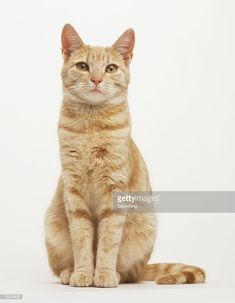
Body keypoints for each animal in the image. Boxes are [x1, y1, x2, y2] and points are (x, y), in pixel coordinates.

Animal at [44, 23, 206, 288]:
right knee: (61, 267)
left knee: (130, 274)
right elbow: (82, 241)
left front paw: (104, 274)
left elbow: (108, 242)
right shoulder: (74, 193)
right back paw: (69, 272)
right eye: (83, 66)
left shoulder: (115, 192)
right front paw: (83, 273)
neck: (92, 126)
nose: (96, 79)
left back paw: (118, 274)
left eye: (110, 68)